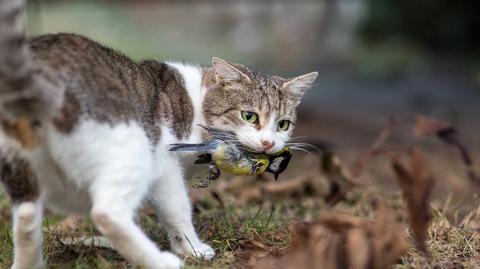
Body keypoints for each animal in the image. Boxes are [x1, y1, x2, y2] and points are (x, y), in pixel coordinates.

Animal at [0, 1, 318, 266]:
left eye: (283, 124)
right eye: (249, 115)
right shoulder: (165, 164)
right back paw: (160, 261)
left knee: (26, 218)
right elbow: (177, 210)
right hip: (132, 148)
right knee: (106, 213)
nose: (268, 142)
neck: (196, 103)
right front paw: (191, 249)